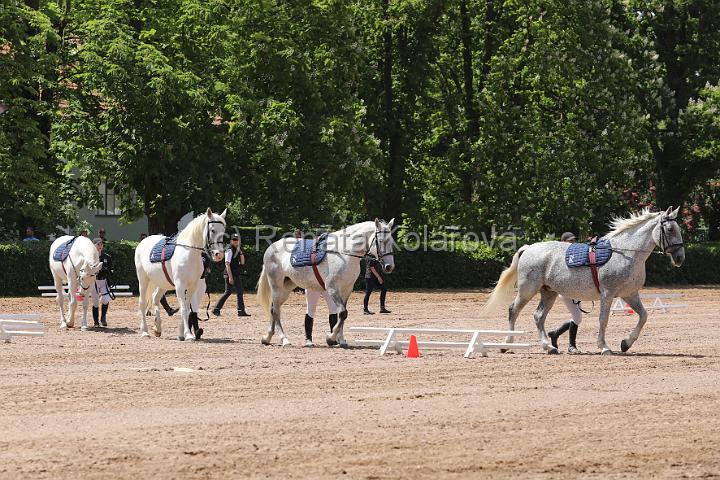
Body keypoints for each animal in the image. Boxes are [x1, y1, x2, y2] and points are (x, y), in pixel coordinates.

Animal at [134, 208, 225, 340]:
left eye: (223, 231)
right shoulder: (180, 285)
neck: (189, 252)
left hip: (163, 284)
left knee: (155, 298)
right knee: (142, 302)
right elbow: (183, 309)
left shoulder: (192, 286)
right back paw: (145, 331)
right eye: (212, 230)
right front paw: (188, 335)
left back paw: (157, 327)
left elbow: (187, 309)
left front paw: (183, 334)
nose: (219, 255)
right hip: (143, 280)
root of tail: (143, 242)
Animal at [258, 219, 396, 346]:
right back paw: (284, 339)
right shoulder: (332, 288)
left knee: (273, 309)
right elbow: (342, 313)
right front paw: (331, 338)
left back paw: (267, 338)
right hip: (276, 286)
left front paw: (340, 340)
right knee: (276, 311)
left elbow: (342, 314)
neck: (344, 254)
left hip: (286, 287)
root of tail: (271, 248)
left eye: (391, 242)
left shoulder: (347, 290)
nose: (389, 267)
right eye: (381, 241)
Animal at [484, 208, 688, 354]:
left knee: (538, 316)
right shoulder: (608, 294)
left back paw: (549, 347)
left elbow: (644, 316)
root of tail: (527, 248)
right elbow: (603, 320)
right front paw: (604, 347)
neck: (626, 253)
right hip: (528, 290)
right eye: (670, 229)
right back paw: (507, 344)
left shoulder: (630, 294)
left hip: (548, 292)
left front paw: (626, 343)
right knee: (513, 311)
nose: (680, 258)